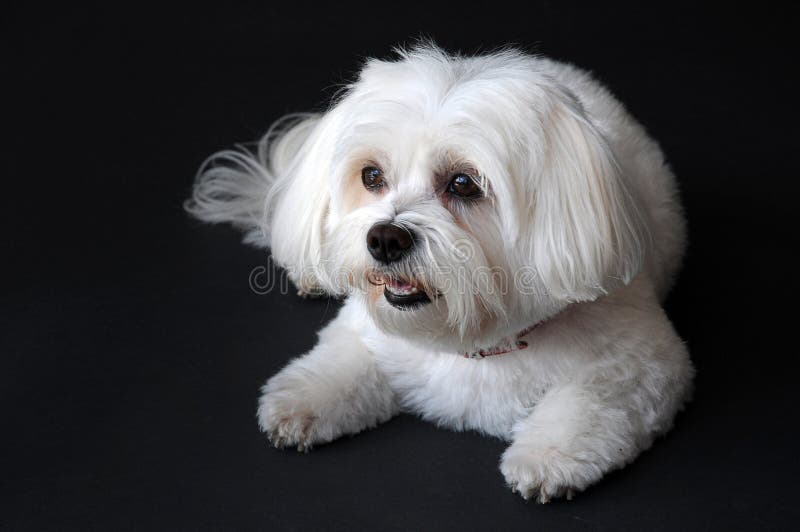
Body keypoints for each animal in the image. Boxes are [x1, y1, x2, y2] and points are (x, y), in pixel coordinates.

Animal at [188, 43, 692, 500]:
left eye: (463, 183)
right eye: (372, 176)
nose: (385, 238)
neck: (471, 343)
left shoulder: (645, 364)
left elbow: (594, 401)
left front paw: (549, 453)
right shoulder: (369, 333)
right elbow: (345, 358)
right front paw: (302, 397)